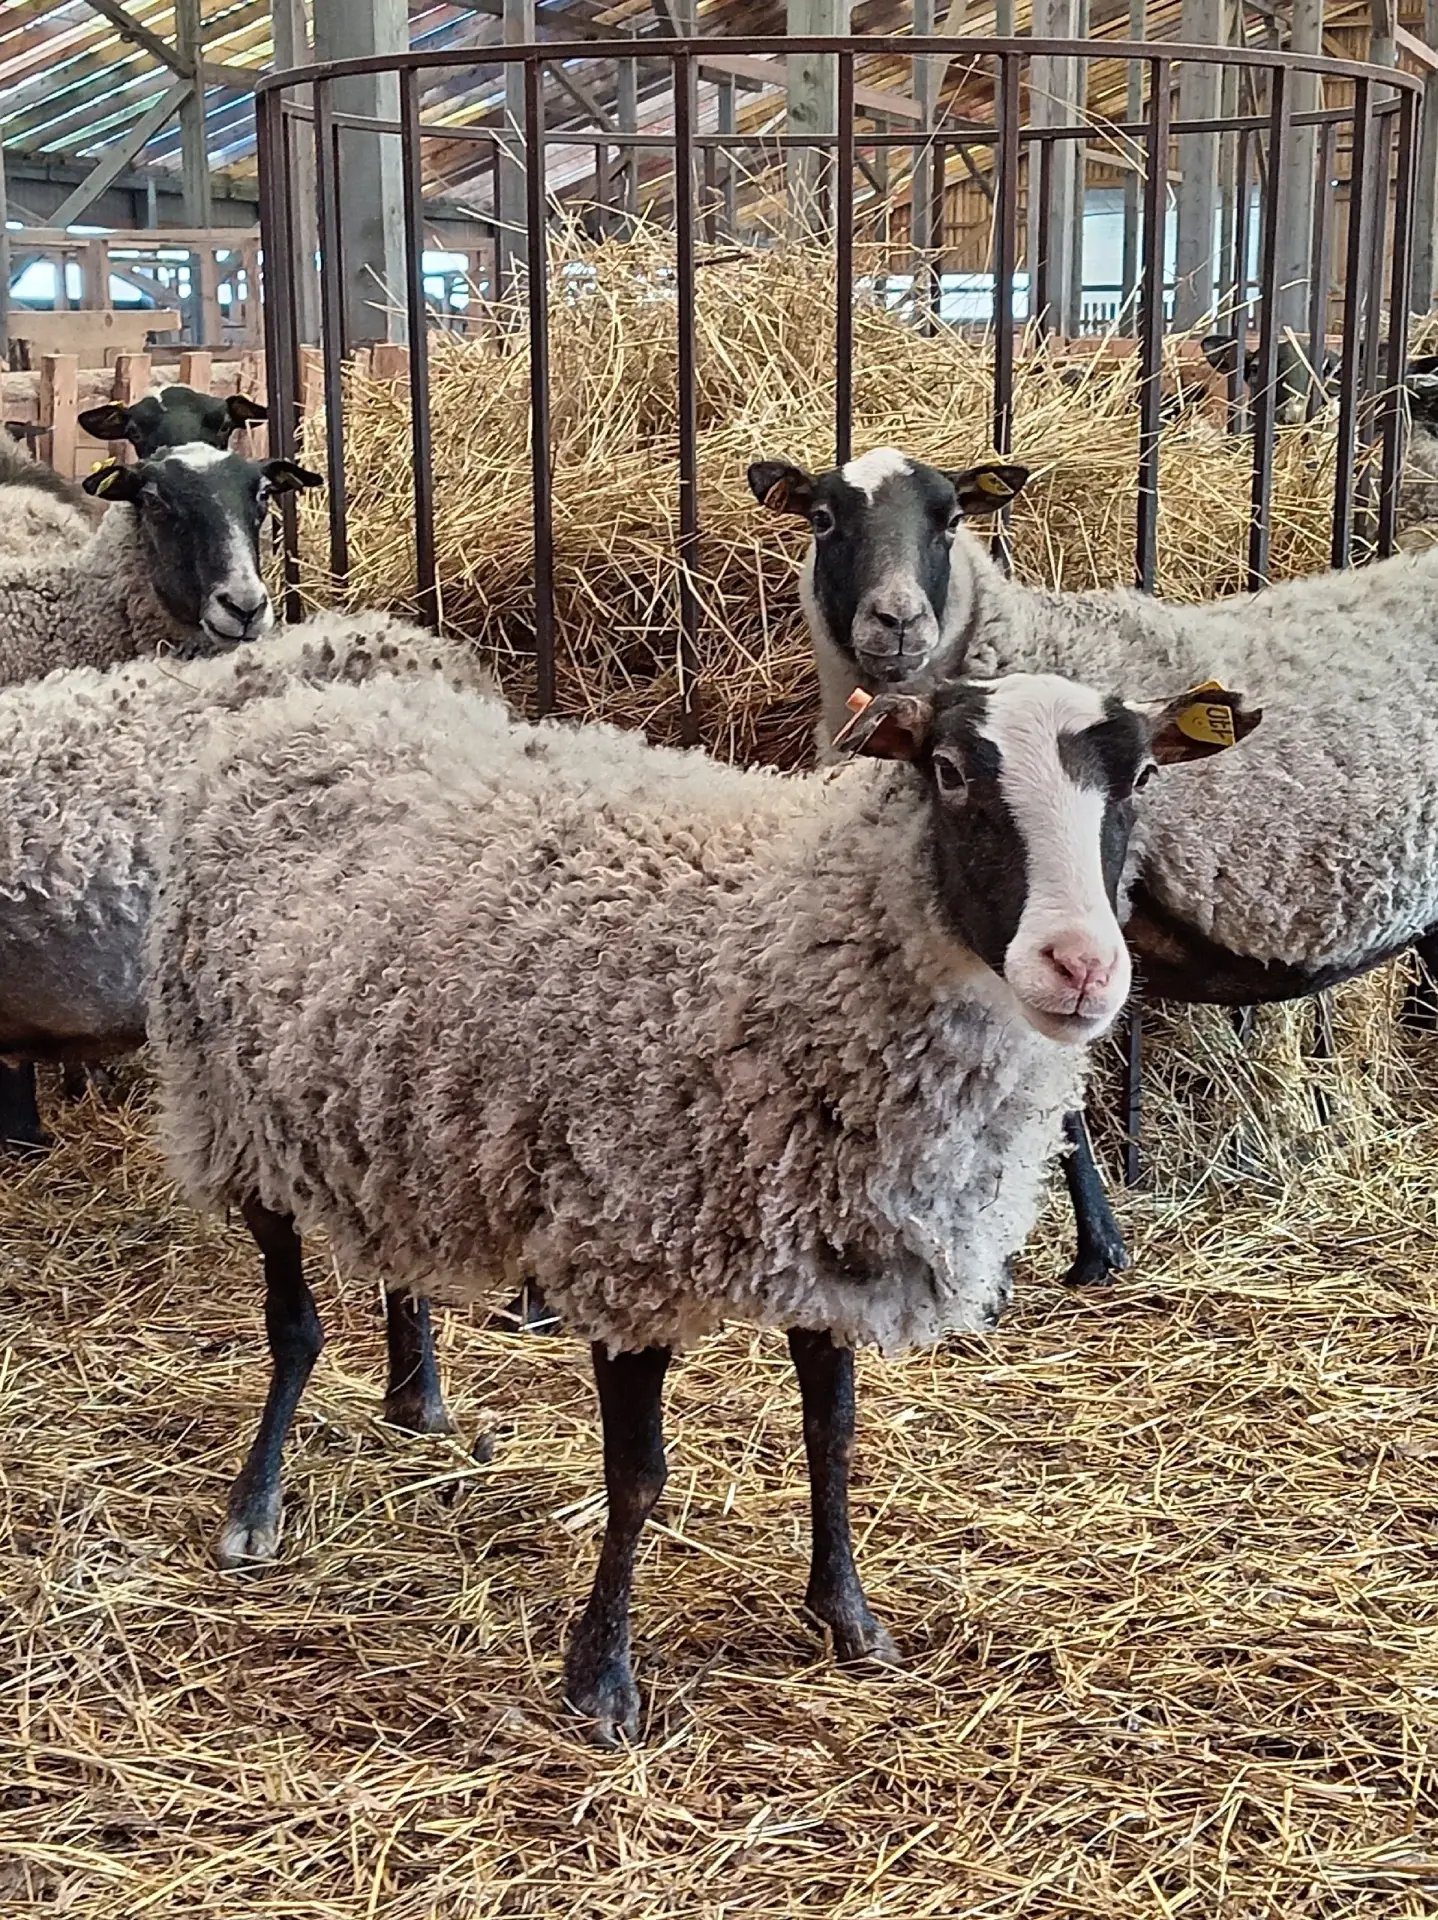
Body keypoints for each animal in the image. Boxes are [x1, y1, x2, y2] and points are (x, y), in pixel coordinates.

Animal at [143, 661, 1257, 1743]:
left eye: (1139, 779)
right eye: (946, 773)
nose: (1083, 969)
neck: (787, 924)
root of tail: (309, 704)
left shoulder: (830, 1228)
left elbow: (832, 1435)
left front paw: (848, 1619)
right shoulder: (625, 1236)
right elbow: (637, 1476)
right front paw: (601, 1680)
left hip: (374, 1110)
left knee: (392, 1249)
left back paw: (417, 1398)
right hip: (226, 1103)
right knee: (291, 1319)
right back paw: (255, 1504)